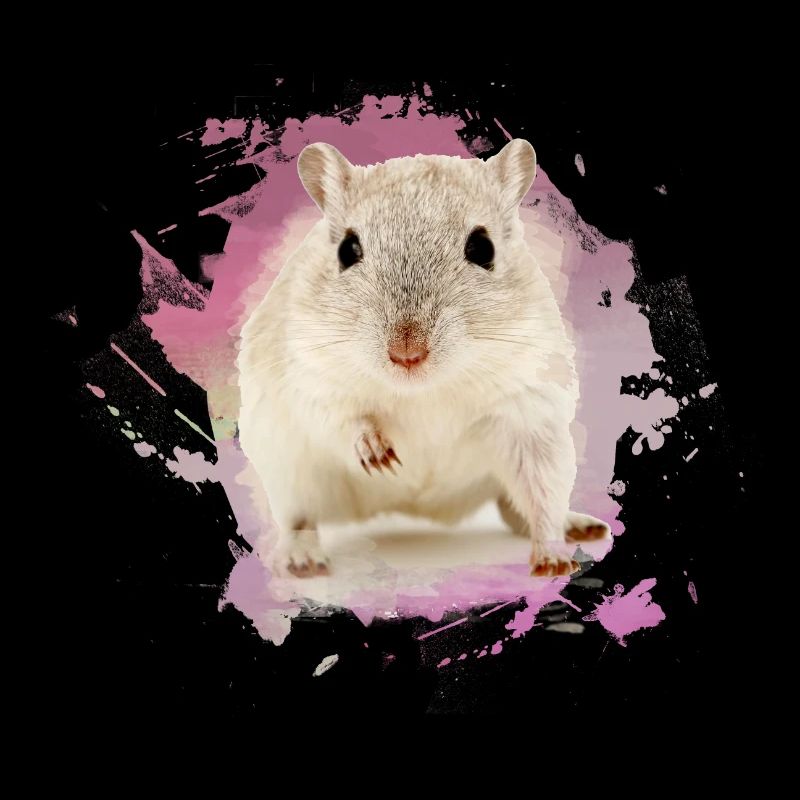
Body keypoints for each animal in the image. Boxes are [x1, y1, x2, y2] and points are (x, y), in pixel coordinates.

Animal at [237, 139, 610, 579]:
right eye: (347, 250)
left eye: (483, 248)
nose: (407, 354)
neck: (423, 390)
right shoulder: (308, 375)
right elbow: (341, 418)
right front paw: (378, 454)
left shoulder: (533, 410)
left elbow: (542, 495)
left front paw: (552, 561)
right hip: (287, 472)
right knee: (299, 519)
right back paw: (303, 560)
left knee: (521, 507)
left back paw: (580, 527)